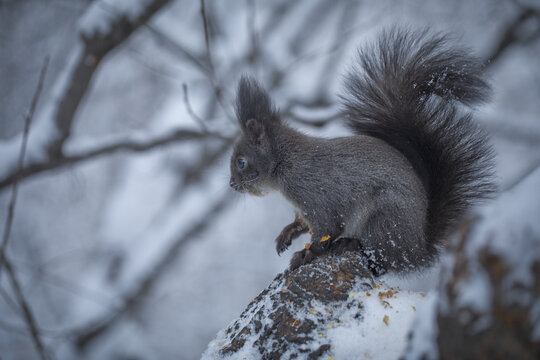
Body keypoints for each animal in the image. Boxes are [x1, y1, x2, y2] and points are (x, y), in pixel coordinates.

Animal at [226, 28, 496, 274]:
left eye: (241, 162)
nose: (232, 185)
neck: (285, 162)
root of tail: (417, 250)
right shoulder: (303, 208)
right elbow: (302, 224)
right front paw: (287, 234)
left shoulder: (316, 194)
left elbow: (326, 229)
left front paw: (306, 254)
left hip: (384, 217)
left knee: (381, 257)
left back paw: (350, 243)